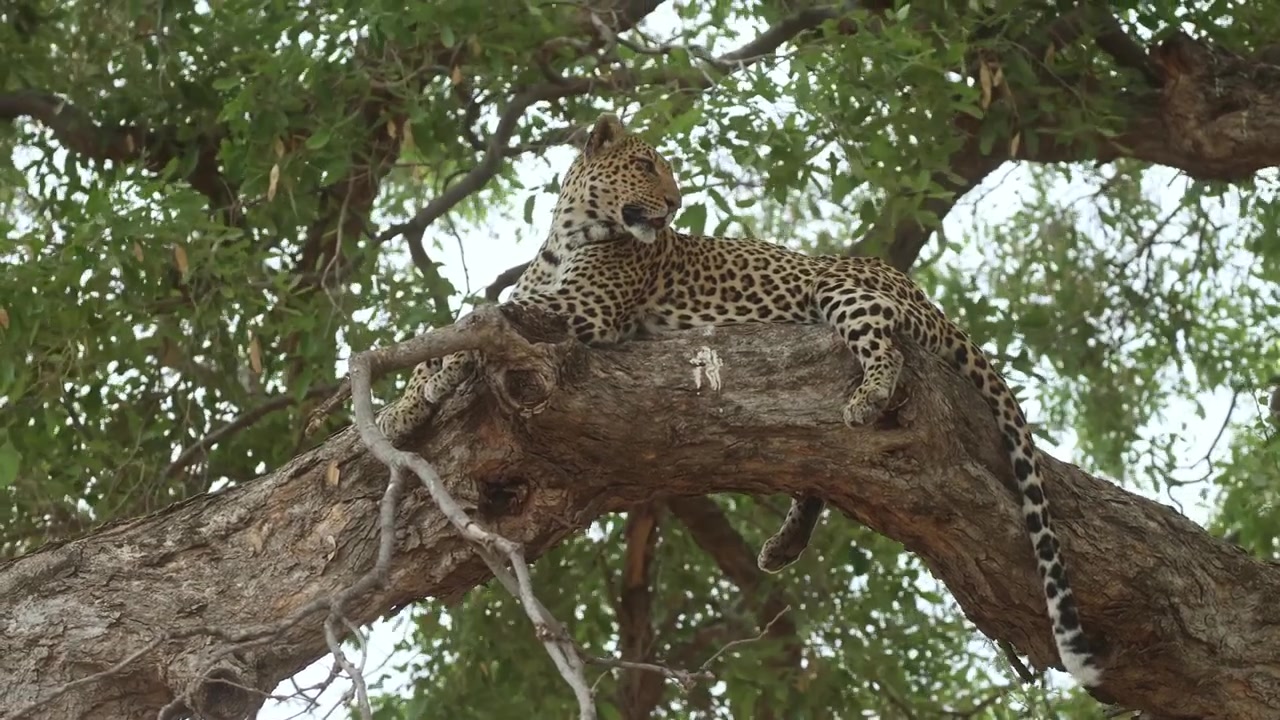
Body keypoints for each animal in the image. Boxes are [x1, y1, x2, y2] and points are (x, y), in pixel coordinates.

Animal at [375, 112, 1103, 689]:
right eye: (644, 164)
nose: (673, 203)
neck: (567, 238)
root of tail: (921, 291)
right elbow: (450, 339)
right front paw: (402, 410)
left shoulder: (579, 314)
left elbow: (467, 333)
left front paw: (408, 401)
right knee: (818, 469)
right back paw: (784, 544)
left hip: (842, 291)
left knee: (886, 355)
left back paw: (868, 399)